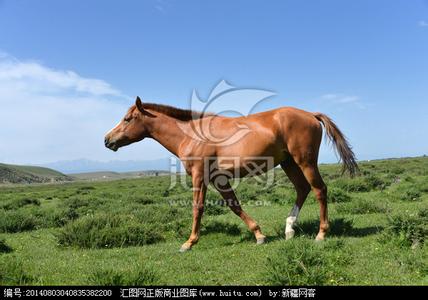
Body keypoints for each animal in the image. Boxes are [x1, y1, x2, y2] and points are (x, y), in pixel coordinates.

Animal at [104, 96, 358, 251]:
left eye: (127, 119)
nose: (107, 140)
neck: (191, 134)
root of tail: (311, 114)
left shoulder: (199, 176)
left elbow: (198, 208)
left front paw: (189, 242)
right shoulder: (219, 179)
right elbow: (235, 206)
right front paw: (259, 235)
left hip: (305, 161)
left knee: (319, 190)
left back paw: (321, 234)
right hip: (289, 163)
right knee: (303, 189)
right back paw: (289, 229)